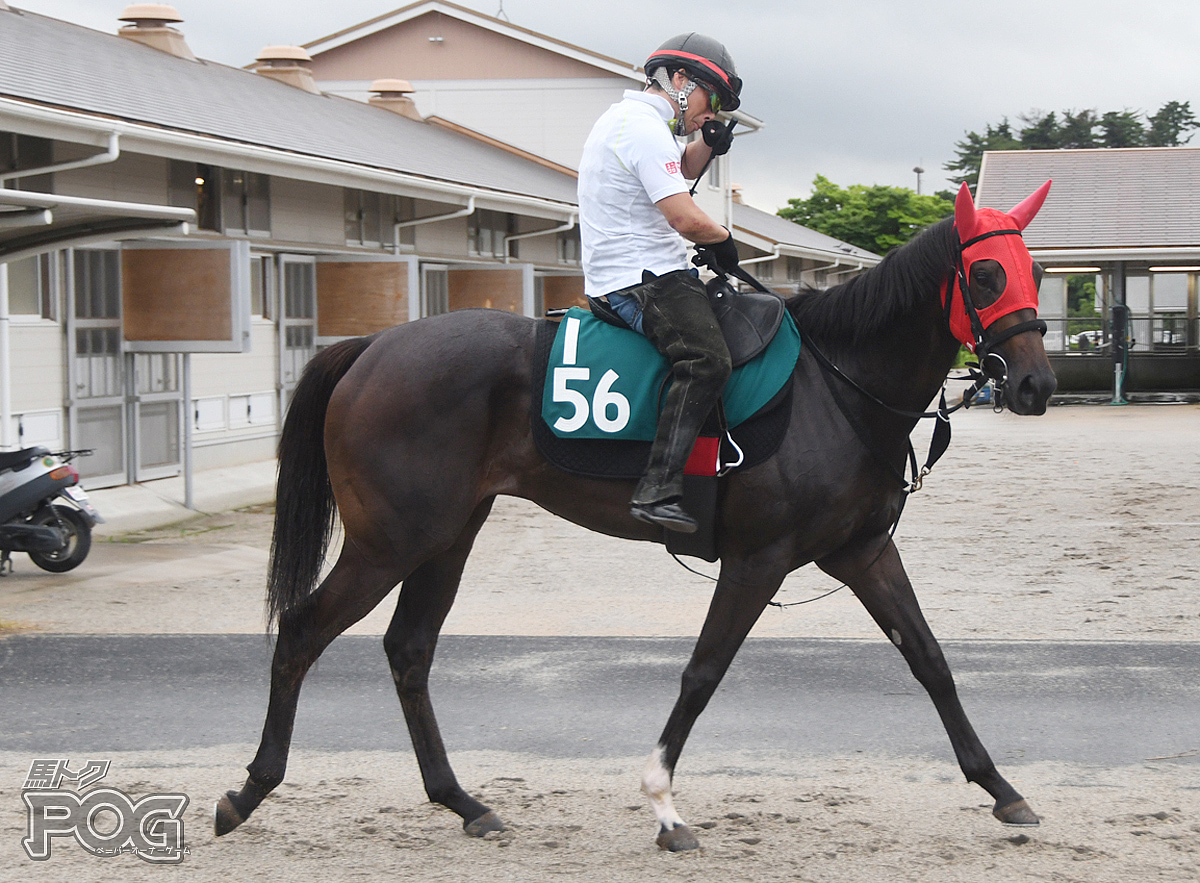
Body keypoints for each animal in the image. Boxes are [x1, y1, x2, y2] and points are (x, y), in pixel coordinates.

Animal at [216, 181, 1060, 849]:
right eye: (985, 273)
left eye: (1039, 273)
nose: (1035, 384)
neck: (836, 385)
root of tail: (370, 347)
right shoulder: (758, 561)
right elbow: (703, 670)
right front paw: (663, 804)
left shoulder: (862, 553)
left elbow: (931, 660)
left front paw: (1001, 788)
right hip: (390, 541)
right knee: (302, 630)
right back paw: (250, 789)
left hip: (447, 535)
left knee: (409, 650)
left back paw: (461, 801)